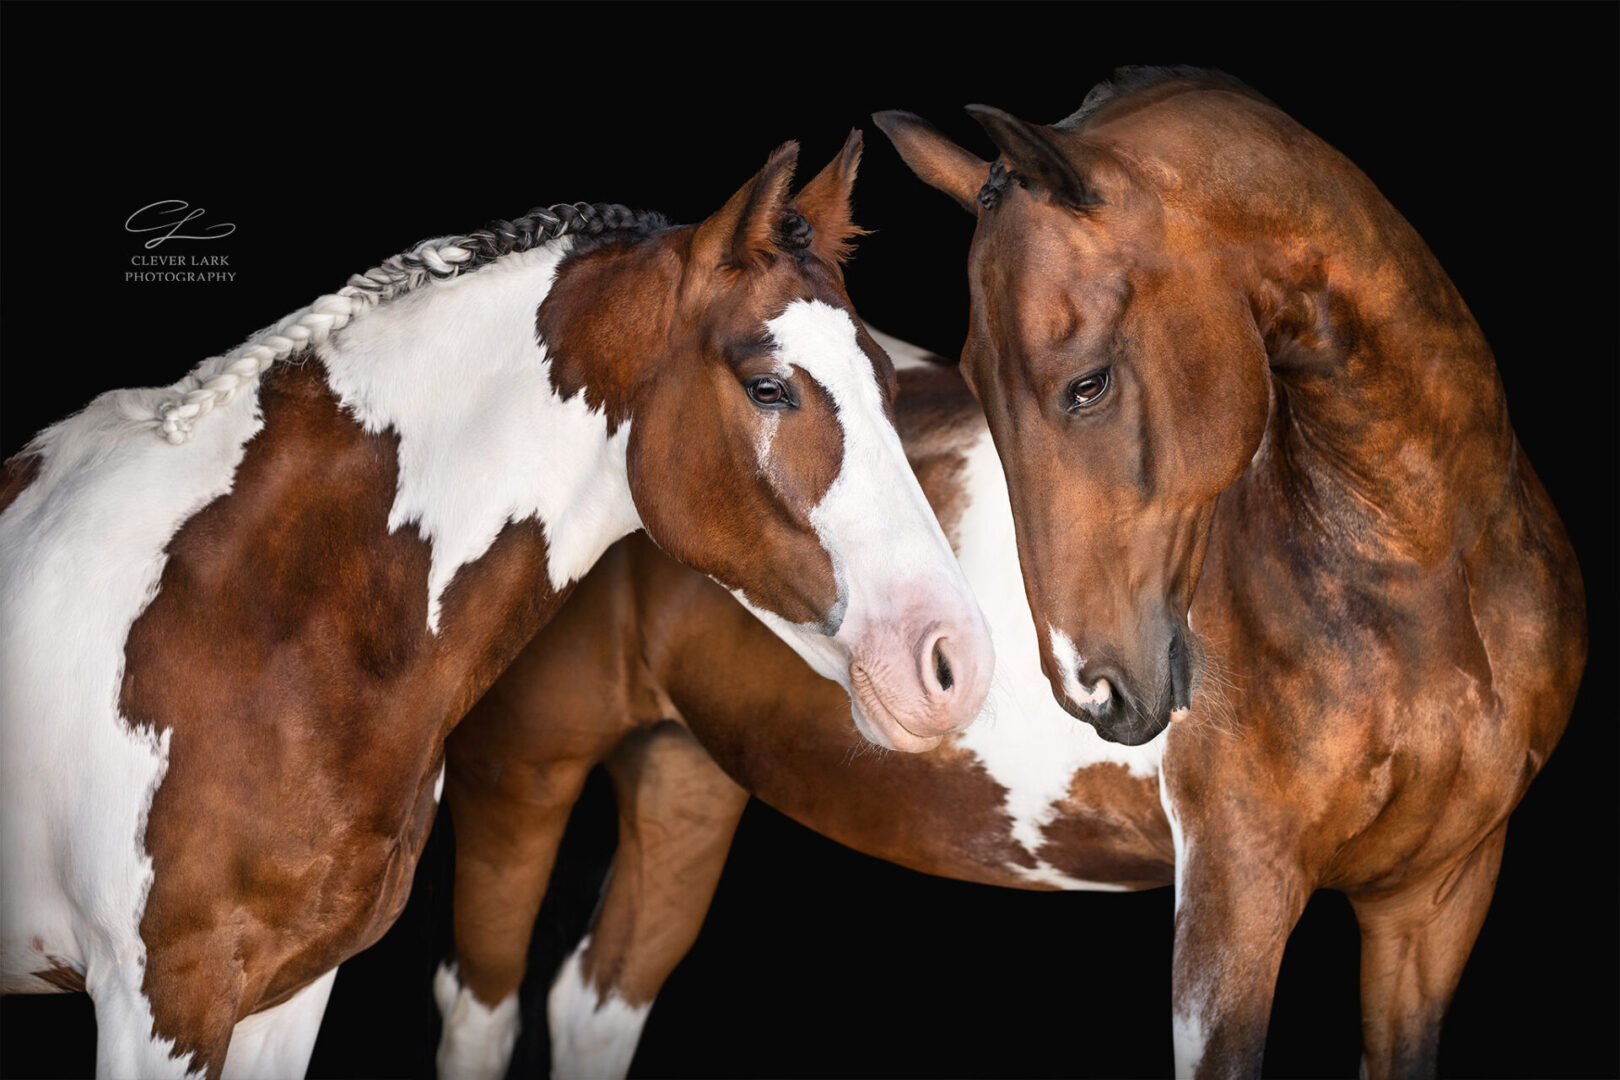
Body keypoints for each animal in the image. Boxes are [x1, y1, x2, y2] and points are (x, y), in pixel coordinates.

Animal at [0, 137, 997, 1080]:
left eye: (891, 385)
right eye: (768, 388)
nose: (956, 662)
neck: (256, 613)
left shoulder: (289, 992)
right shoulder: (164, 1003)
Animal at [881, 71, 1587, 1075]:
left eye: (1089, 383)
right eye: (977, 380)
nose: (1092, 688)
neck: (1422, 579)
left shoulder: (1435, 900)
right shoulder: (1233, 906)